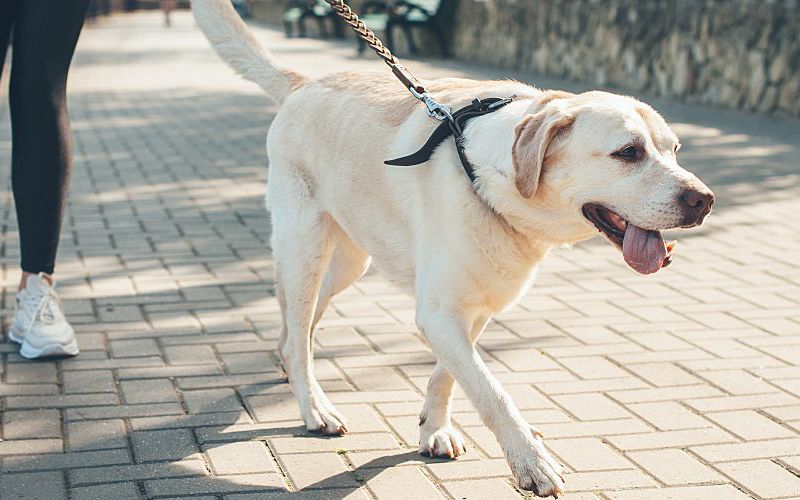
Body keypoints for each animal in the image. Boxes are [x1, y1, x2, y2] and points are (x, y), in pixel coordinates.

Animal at [192, 2, 712, 496]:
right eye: (628, 152)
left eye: (675, 150)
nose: (703, 200)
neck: (491, 179)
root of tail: (304, 84)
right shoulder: (440, 311)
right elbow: (491, 390)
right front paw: (531, 462)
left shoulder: (473, 306)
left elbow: (450, 375)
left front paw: (433, 429)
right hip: (305, 249)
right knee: (300, 337)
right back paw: (314, 406)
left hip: (349, 263)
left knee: (295, 331)